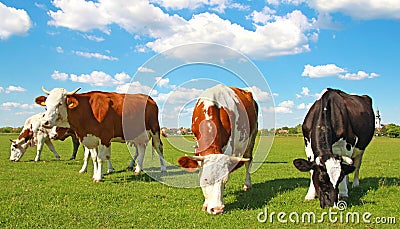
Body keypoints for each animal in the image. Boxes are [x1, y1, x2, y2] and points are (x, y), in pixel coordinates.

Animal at [34, 87, 166, 182]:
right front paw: (96, 174)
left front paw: (98, 177)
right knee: (141, 149)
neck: (87, 110)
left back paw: (163, 168)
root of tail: (149, 98)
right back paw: (138, 169)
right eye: (46, 106)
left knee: (158, 147)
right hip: (137, 134)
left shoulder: (105, 137)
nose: (45, 122)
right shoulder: (90, 138)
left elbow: (101, 158)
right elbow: (93, 157)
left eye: (60, 103)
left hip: (154, 129)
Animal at [177, 84, 258, 215]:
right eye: (205, 179)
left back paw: (247, 184)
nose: (217, 209)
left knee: (248, 160)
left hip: (252, 136)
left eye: (225, 180)